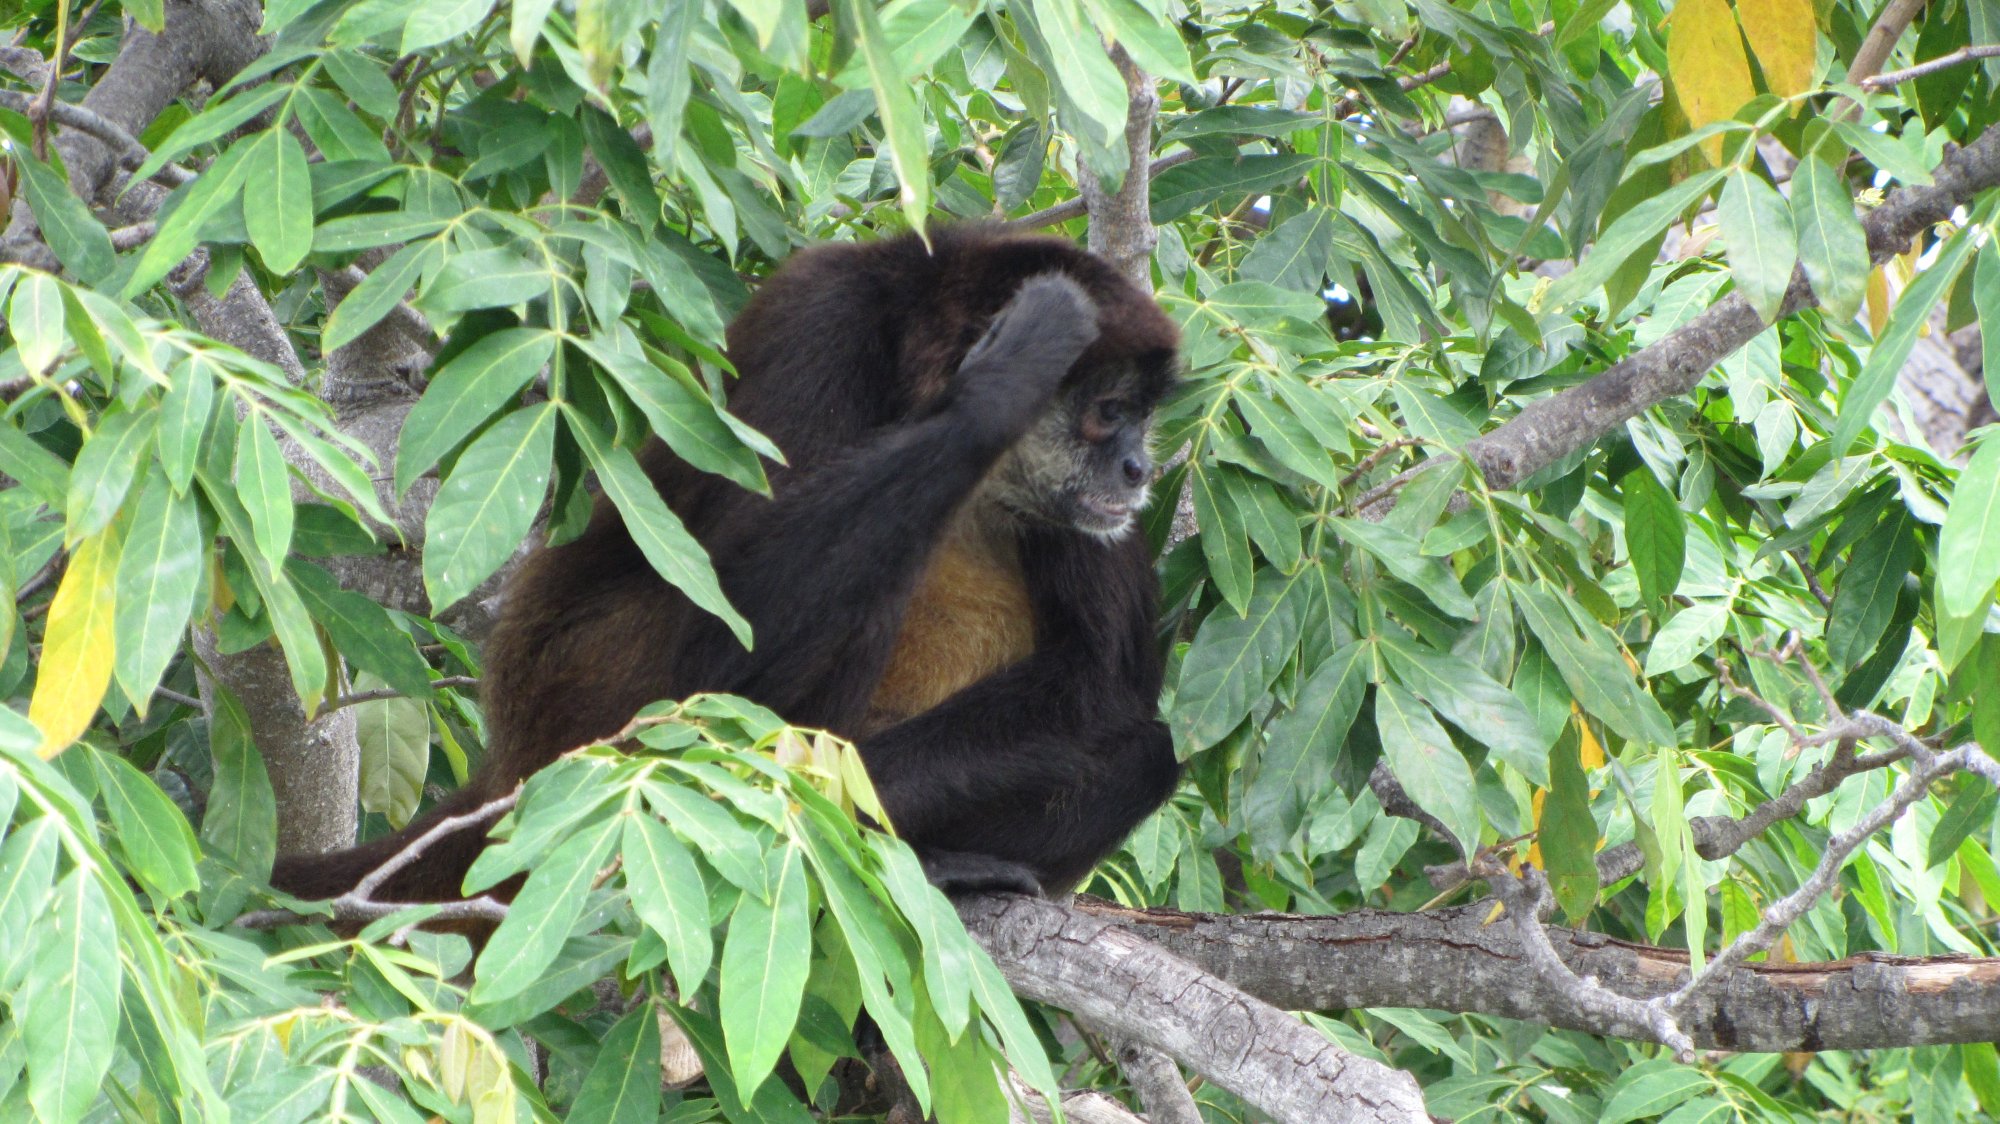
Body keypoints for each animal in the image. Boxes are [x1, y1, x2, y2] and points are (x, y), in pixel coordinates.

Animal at [271, 225, 1183, 904]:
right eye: (1108, 413)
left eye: (1141, 416)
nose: (1139, 468)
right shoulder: (822, 322)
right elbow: (722, 655)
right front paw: (999, 385)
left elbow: (1104, 684)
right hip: (583, 672)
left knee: (1145, 752)